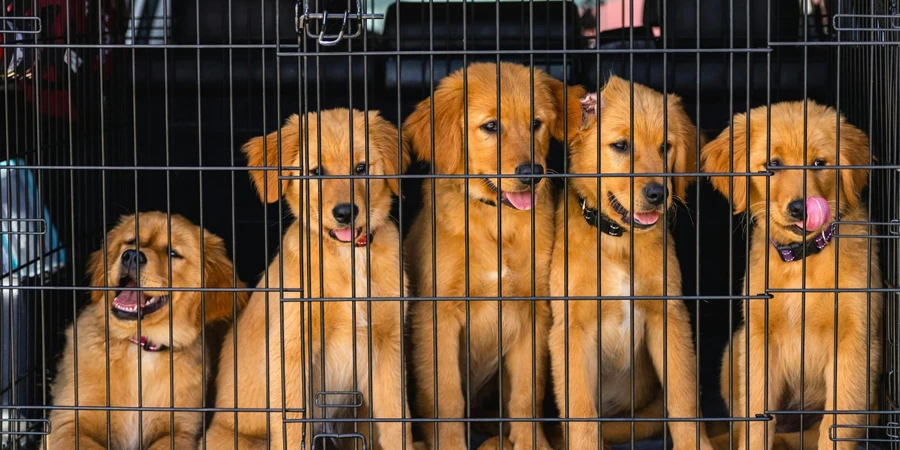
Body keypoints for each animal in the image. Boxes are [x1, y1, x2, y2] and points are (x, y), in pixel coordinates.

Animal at [44, 212, 244, 450]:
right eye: (130, 241)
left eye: (173, 253)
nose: (131, 256)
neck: (140, 346)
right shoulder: (66, 424)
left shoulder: (180, 431)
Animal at [205, 109, 414, 450]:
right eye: (316, 172)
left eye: (361, 168)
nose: (345, 213)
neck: (345, 258)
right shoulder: (291, 348)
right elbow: (292, 428)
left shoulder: (388, 345)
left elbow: (398, 423)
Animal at [404, 62, 568, 450]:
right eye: (491, 126)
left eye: (536, 123)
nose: (532, 173)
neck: (496, 223)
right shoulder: (438, 315)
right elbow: (446, 396)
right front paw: (449, 444)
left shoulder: (533, 311)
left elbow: (526, 392)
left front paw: (531, 442)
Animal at [548, 76, 712, 450]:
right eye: (621, 145)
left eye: (666, 146)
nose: (657, 193)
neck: (619, 242)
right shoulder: (571, 327)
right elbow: (581, 412)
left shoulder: (668, 314)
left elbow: (683, 397)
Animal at [700, 101, 884, 450]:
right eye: (773, 164)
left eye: (819, 164)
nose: (801, 208)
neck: (802, 261)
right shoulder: (760, 338)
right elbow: (755, 419)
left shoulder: (854, 341)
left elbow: (837, 425)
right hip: (735, 349)